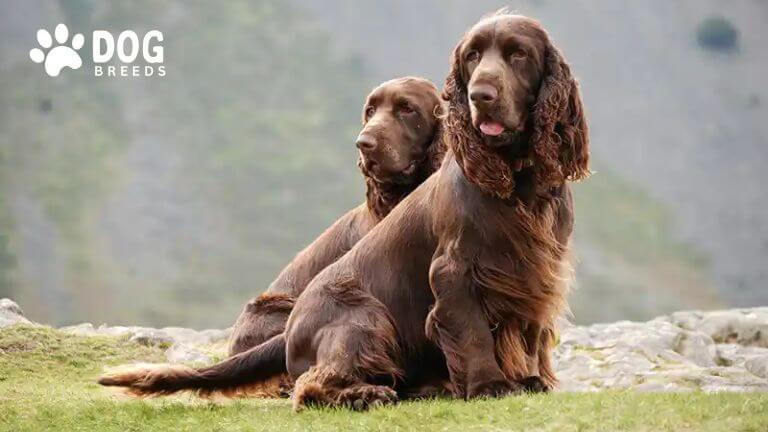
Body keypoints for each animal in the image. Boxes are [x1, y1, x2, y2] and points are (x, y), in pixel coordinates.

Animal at [96, 11, 588, 408]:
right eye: (471, 56)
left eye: (518, 54)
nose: (481, 94)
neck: (517, 179)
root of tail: (291, 328)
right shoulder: (455, 270)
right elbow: (471, 331)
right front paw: (489, 386)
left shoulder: (537, 269)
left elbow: (529, 333)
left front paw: (530, 378)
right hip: (364, 317)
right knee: (312, 386)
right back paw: (365, 394)